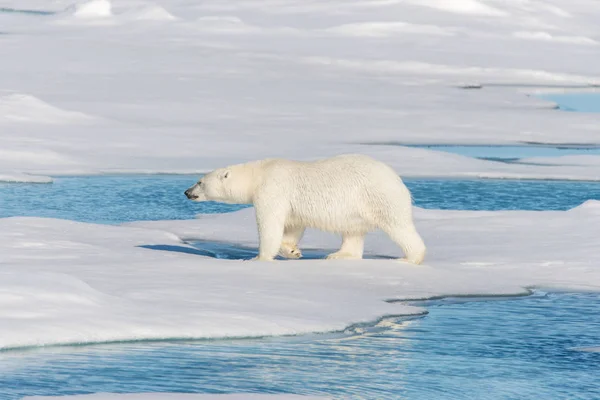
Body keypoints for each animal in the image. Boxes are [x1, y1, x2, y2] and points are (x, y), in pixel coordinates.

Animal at [185, 155, 424, 264]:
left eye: (199, 181)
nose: (187, 192)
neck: (259, 173)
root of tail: (398, 181)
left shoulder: (272, 190)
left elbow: (270, 224)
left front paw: (258, 258)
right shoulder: (290, 204)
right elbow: (292, 226)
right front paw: (292, 251)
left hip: (378, 196)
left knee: (398, 226)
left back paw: (408, 258)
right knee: (353, 231)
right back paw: (339, 255)